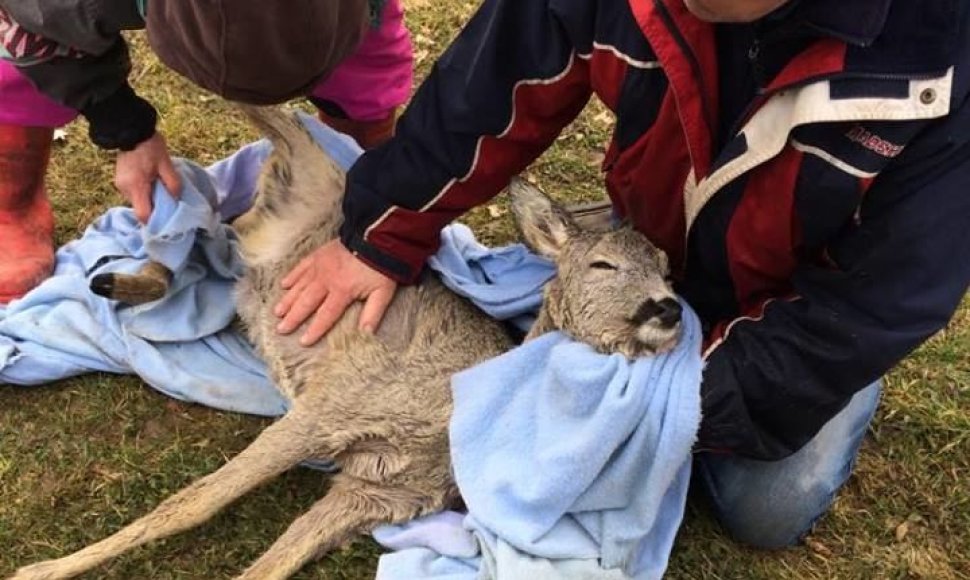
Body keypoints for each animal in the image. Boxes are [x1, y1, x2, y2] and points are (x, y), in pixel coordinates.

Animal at [13, 105, 680, 580]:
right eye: (602, 265)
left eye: (669, 271)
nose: (669, 307)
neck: (460, 414)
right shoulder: (331, 407)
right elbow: (192, 503)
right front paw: (38, 569)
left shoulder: (380, 493)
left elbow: (271, 564)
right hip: (299, 160)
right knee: (250, 134)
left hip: (265, 230)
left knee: (212, 232)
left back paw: (124, 278)